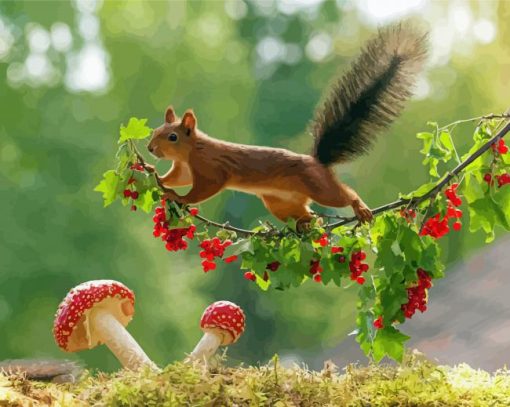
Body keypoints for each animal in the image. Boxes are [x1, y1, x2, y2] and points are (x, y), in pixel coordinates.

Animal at [147, 23, 426, 230]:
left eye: (172, 137)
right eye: (155, 132)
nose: (150, 149)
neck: (192, 151)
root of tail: (318, 162)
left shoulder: (211, 168)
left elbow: (203, 188)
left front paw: (180, 198)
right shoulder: (185, 168)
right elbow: (177, 178)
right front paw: (156, 175)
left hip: (320, 187)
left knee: (344, 194)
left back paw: (359, 208)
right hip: (280, 204)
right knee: (307, 215)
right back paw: (306, 226)